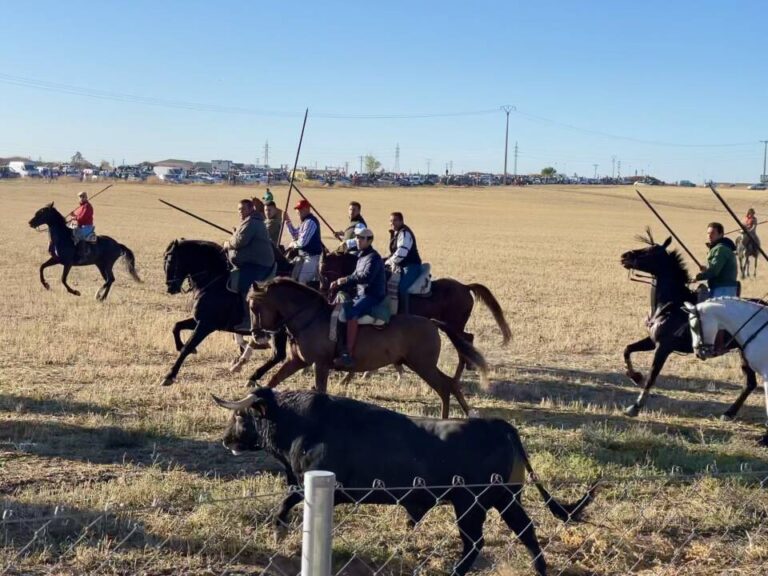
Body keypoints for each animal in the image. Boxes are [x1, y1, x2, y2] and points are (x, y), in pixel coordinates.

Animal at [213, 388, 596, 576]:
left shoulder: (314, 483)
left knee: (475, 542)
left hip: (470, 505)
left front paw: (278, 530)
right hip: (504, 501)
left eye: (240, 415)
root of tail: (500, 425)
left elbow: (285, 502)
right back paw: (539, 569)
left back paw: (456, 571)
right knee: (526, 531)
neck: (300, 423)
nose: (226, 440)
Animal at [246, 276, 488, 416]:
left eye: (254, 306)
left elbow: (320, 390)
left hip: (423, 366)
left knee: (445, 387)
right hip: (421, 365)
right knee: (449, 385)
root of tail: (431, 322)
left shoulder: (320, 365)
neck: (310, 317)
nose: (256, 334)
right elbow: (273, 380)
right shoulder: (297, 361)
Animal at [616, 228, 756, 418]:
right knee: (750, 383)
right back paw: (728, 413)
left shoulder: (663, 347)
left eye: (649, 251)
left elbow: (652, 375)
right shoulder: (653, 341)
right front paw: (636, 376)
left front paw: (635, 406)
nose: (625, 256)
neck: (670, 305)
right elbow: (627, 349)